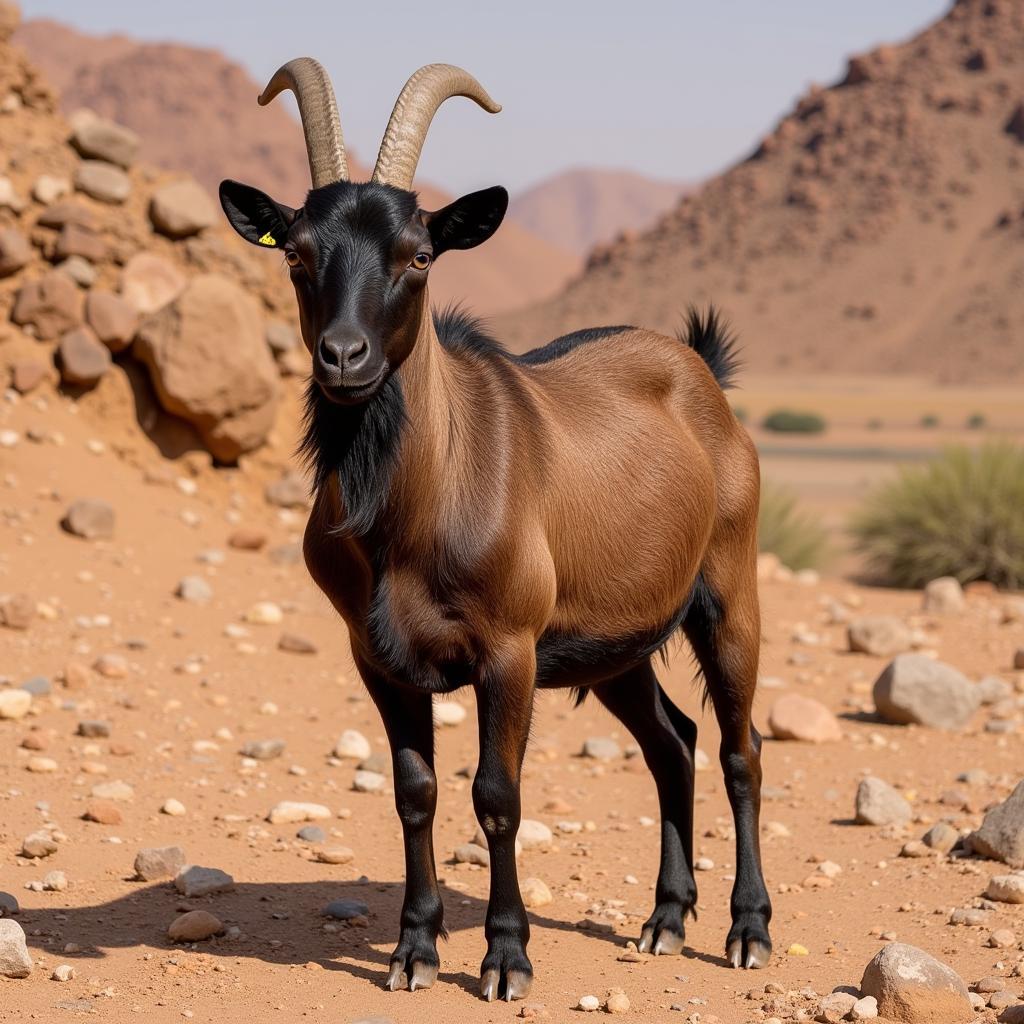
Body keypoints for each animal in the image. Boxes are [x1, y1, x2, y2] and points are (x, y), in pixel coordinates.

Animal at [220, 56, 770, 999]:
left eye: (419, 254)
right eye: (295, 252)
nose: (344, 358)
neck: (416, 503)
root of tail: (702, 371)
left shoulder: (508, 651)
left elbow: (497, 797)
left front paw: (506, 957)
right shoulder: (378, 657)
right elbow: (415, 792)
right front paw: (413, 949)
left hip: (727, 595)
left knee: (741, 749)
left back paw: (747, 929)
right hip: (614, 644)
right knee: (674, 743)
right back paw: (665, 920)